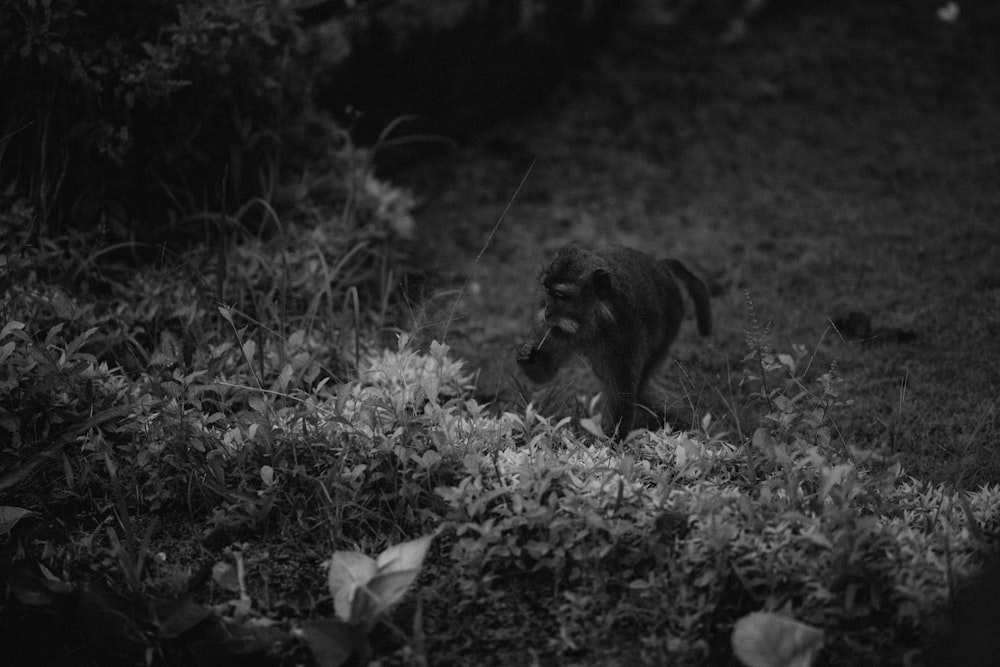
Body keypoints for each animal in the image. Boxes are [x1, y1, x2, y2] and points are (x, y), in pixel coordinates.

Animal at [516, 243, 712, 440]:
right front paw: (528, 355)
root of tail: (661, 266)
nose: (547, 313)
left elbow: (621, 395)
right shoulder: (547, 328)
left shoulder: (625, 332)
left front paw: (613, 441)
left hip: (670, 323)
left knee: (637, 388)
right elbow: (544, 374)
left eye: (561, 296)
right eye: (548, 291)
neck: (593, 323)